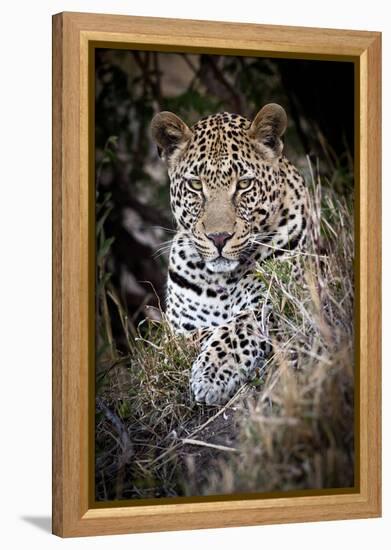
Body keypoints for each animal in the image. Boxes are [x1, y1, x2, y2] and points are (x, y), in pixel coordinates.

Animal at [151, 104, 310, 406]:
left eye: (244, 184)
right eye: (196, 185)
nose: (219, 237)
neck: (220, 282)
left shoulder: (275, 299)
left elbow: (235, 329)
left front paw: (211, 376)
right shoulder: (177, 329)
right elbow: (186, 338)